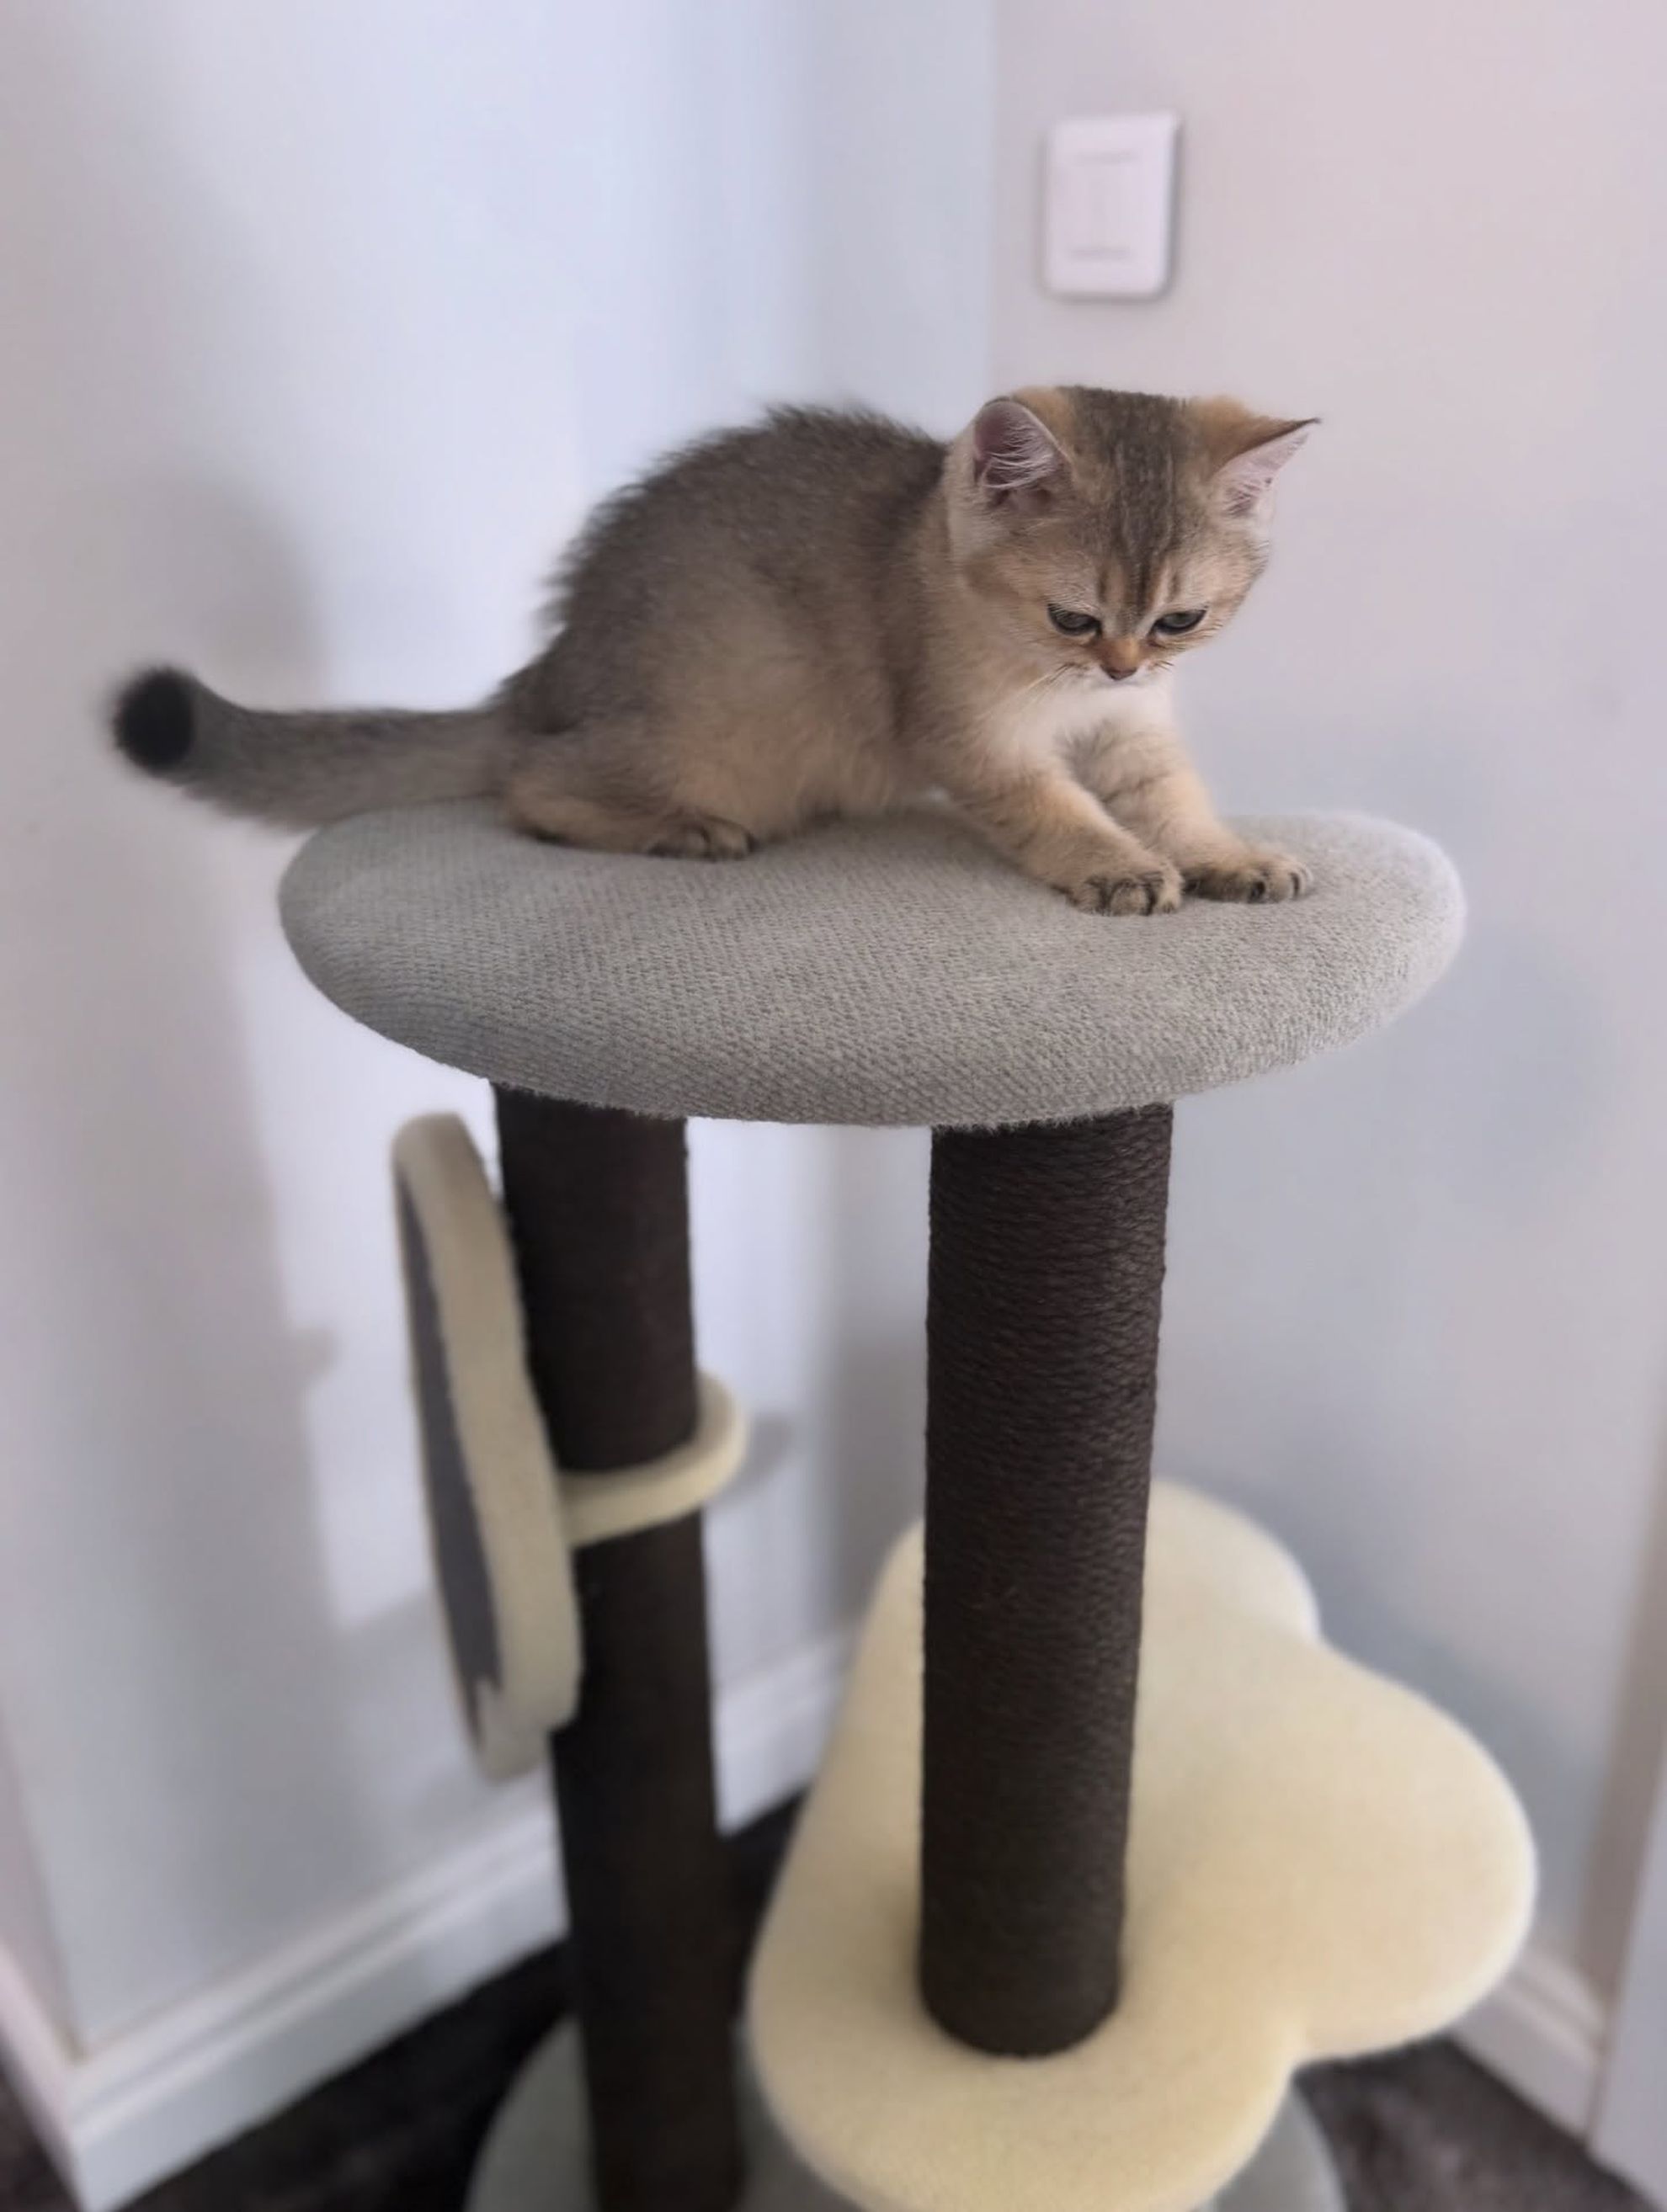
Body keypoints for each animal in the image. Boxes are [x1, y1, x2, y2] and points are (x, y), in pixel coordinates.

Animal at [112, 387, 1314, 916]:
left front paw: (1227, 855)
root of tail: (541, 678)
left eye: (1178, 622)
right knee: (528, 788)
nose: (1121, 664)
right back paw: (679, 830)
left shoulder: (1135, 730)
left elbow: (1173, 796)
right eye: (1074, 618)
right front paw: (1118, 865)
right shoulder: (971, 737)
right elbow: (1053, 810)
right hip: (721, 727)